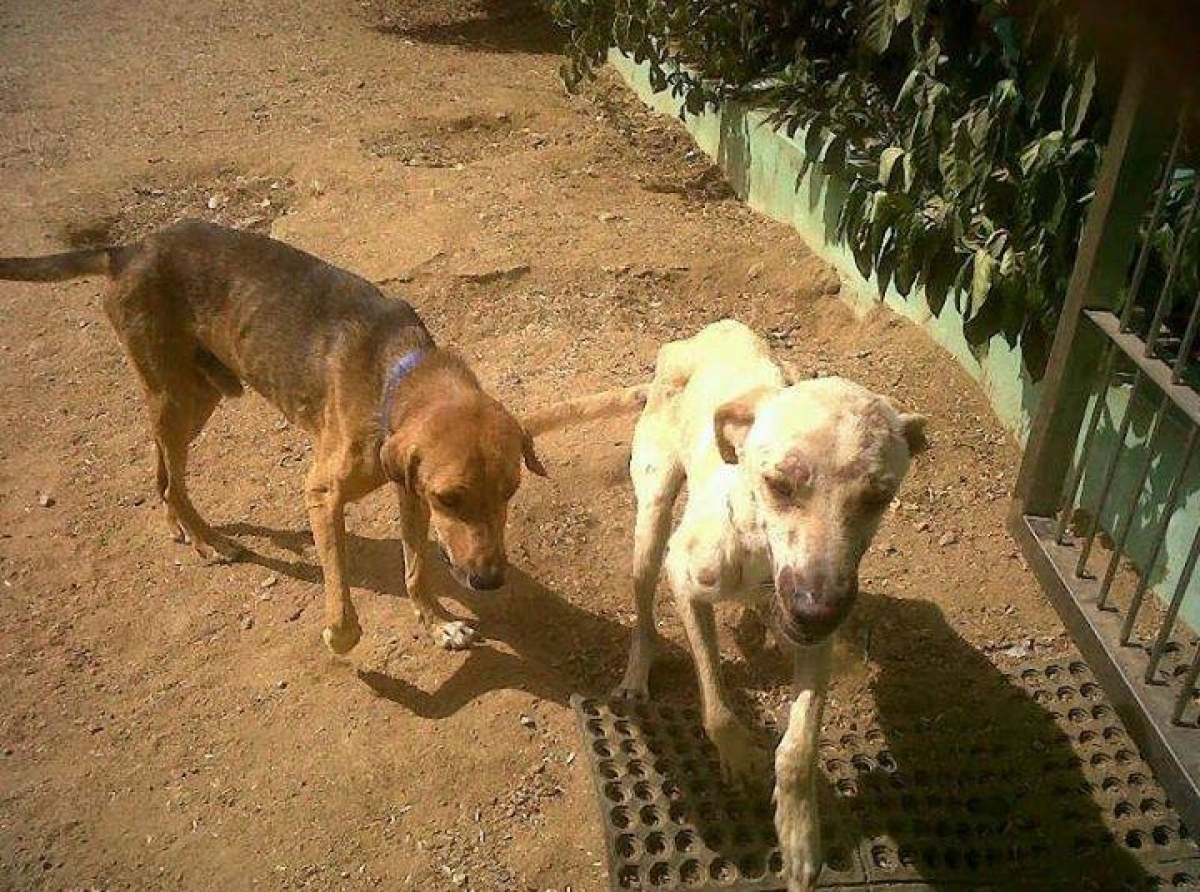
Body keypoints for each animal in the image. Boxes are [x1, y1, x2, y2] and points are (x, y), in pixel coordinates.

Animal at [0, 223, 648, 657]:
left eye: (511, 492)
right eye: (451, 499)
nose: (489, 581)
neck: (395, 375)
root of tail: (127, 249)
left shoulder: (406, 491)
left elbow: (416, 568)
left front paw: (437, 620)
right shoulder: (325, 494)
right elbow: (341, 591)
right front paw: (342, 634)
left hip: (200, 394)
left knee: (162, 472)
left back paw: (181, 527)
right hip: (175, 396)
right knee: (173, 475)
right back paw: (209, 539)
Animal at [614, 316, 921, 888]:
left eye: (878, 496)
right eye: (778, 483)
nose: (815, 609)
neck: (756, 545)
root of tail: (709, 331)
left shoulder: (817, 636)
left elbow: (799, 748)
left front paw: (800, 835)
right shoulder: (683, 579)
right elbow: (715, 702)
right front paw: (737, 756)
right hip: (652, 519)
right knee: (644, 610)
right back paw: (637, 673)